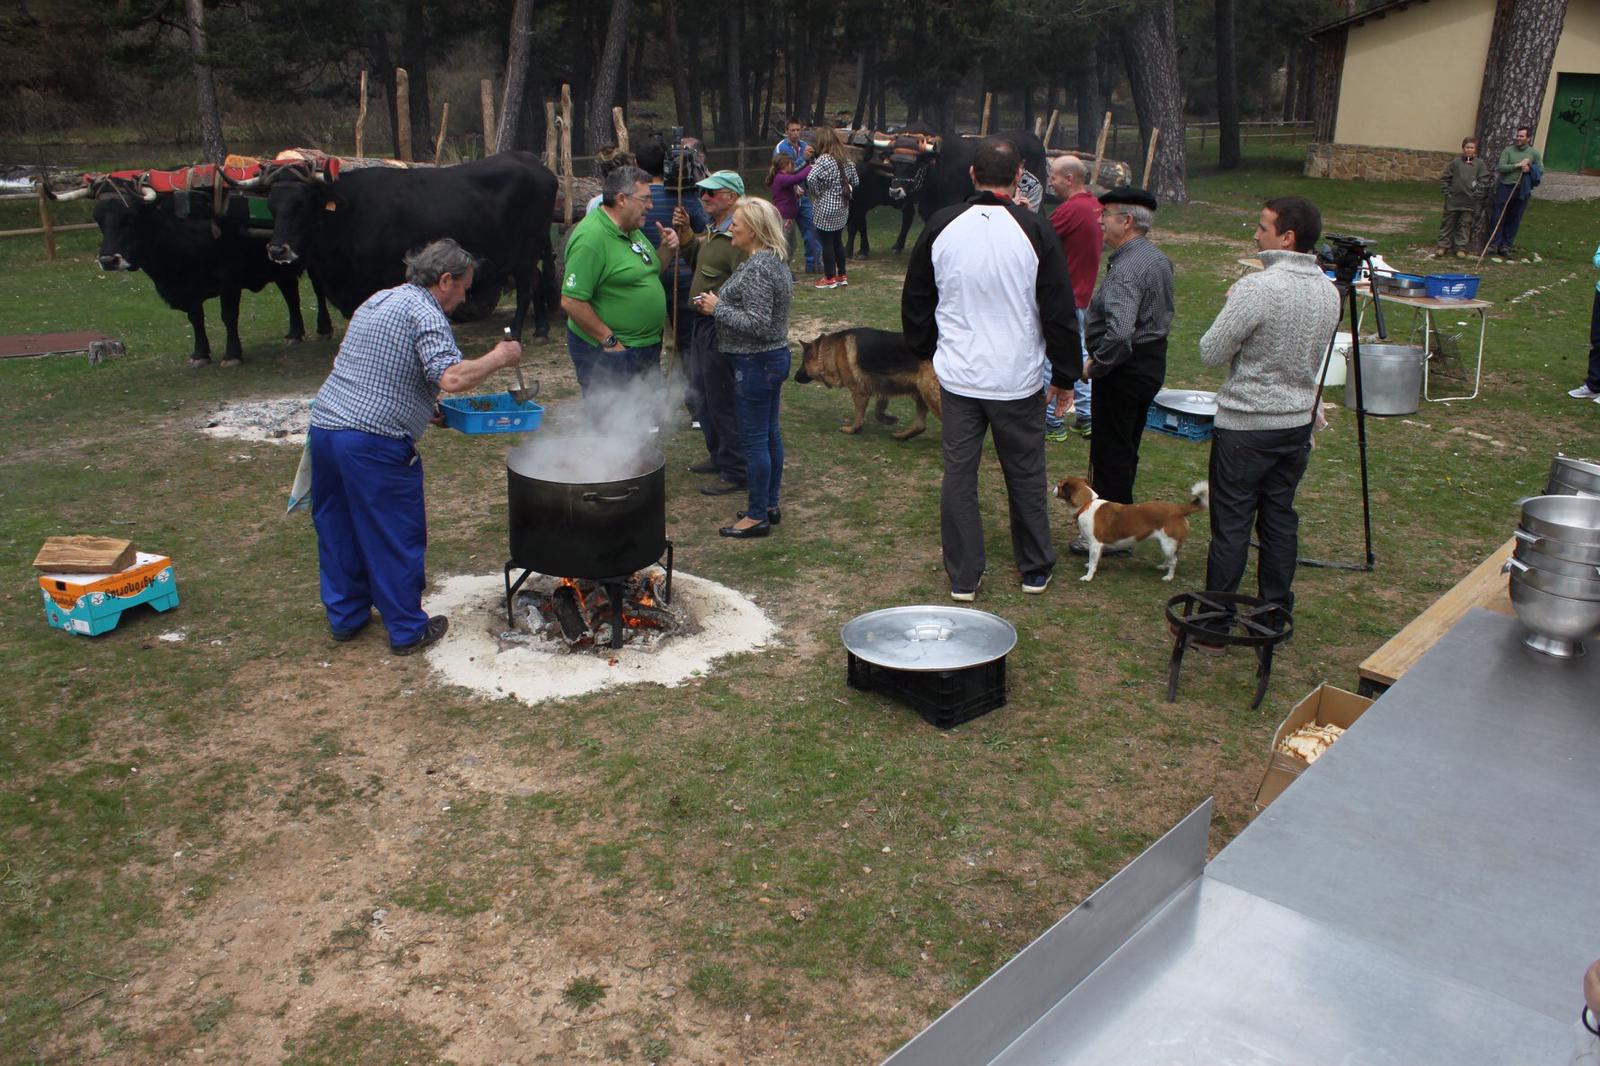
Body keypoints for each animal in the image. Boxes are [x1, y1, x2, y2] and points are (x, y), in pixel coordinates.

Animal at [793, 326, 940, 438]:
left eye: (803, 362)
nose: (794, 377)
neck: (827, 352)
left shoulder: (859, 392)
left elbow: (859, 415)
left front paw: (853, 430)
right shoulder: (881, 388)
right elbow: (878, 410)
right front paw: (888, 420)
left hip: (930, 395)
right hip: (922, 394)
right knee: (920, 426)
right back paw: (901, 436)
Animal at [1056, 476, 1203, 582]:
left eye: (1059, 486)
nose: (1053, 488)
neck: (1086, 504)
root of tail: (1178, 509)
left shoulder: (1095, 544)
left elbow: (1093, 562)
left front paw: (1088, 576)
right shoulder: (1099, 546)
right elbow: (1095, 559)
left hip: (1168, 544)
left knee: (1174, 560)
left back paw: (1169, 576)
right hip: (1165, 543)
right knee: (1170, 558)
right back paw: (1163, 566)